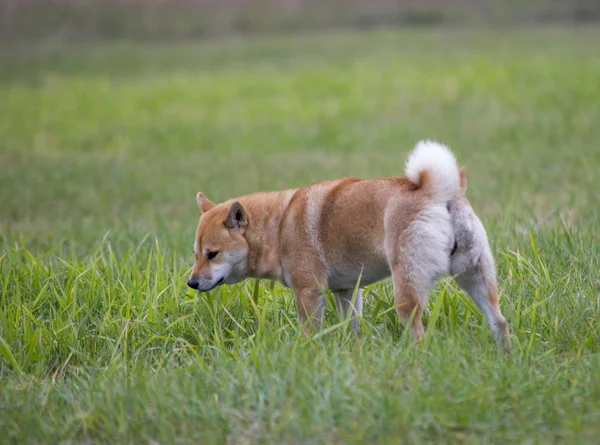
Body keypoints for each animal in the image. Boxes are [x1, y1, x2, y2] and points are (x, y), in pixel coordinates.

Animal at [188, 140, 510, 348]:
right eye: (196, 255)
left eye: (212, 254)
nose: (191, 283)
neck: (278, 227)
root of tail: (438, 192)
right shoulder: (346, 291)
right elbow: (351, 328)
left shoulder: (308, 291)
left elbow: (310, 332)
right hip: (475, 276)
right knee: (499, 321)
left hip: (407, 288)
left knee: (418, 331)